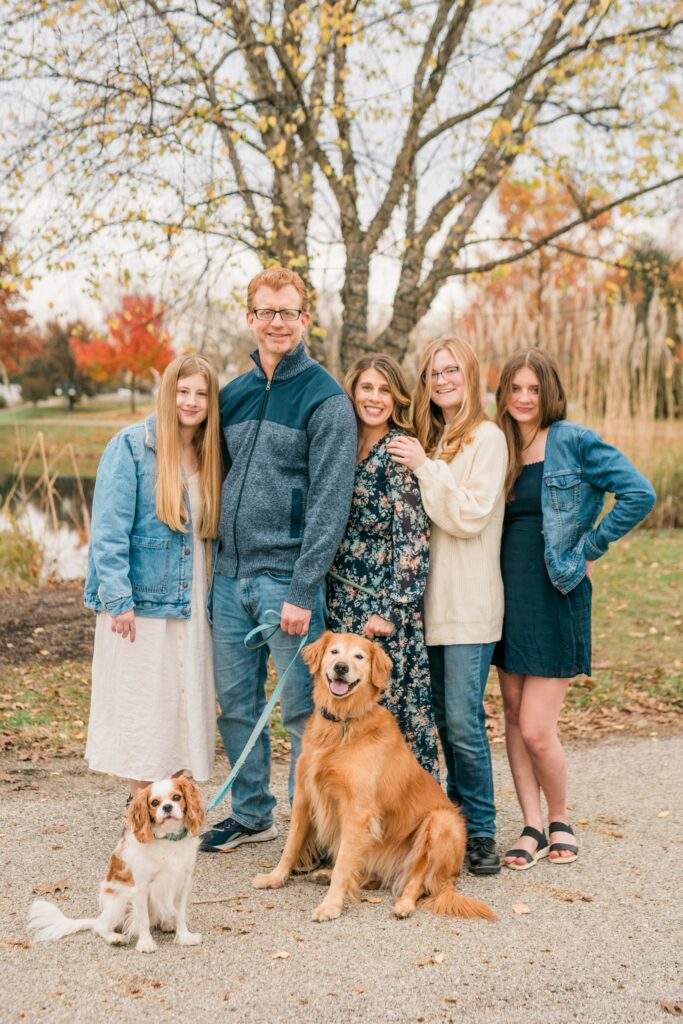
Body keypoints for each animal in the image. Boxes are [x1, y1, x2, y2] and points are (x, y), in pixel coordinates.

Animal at [28, 777, 205, 953]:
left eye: (176, 797)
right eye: (155, 802)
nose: (167, 807)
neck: (168, 839)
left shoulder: (183, 883)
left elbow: (180, 915)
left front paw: (184, 937)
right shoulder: (140, 888)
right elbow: (143, 920)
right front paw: (145, 943)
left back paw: (167, 923)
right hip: (119, 901)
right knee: (100, 927)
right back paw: (115, 938)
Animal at [253, 632, 495, 922]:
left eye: (359, 657)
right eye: (334, 652)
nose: (341, 668)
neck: (343, 724)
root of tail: (451, 878)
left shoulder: (358, 812)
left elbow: (344, 862)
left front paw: (330, 906)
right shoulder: (304, 797)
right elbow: (292, 846)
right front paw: (275, 878)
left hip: (442, 822)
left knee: (418, 879)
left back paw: (404, 904)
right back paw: (329, 874)